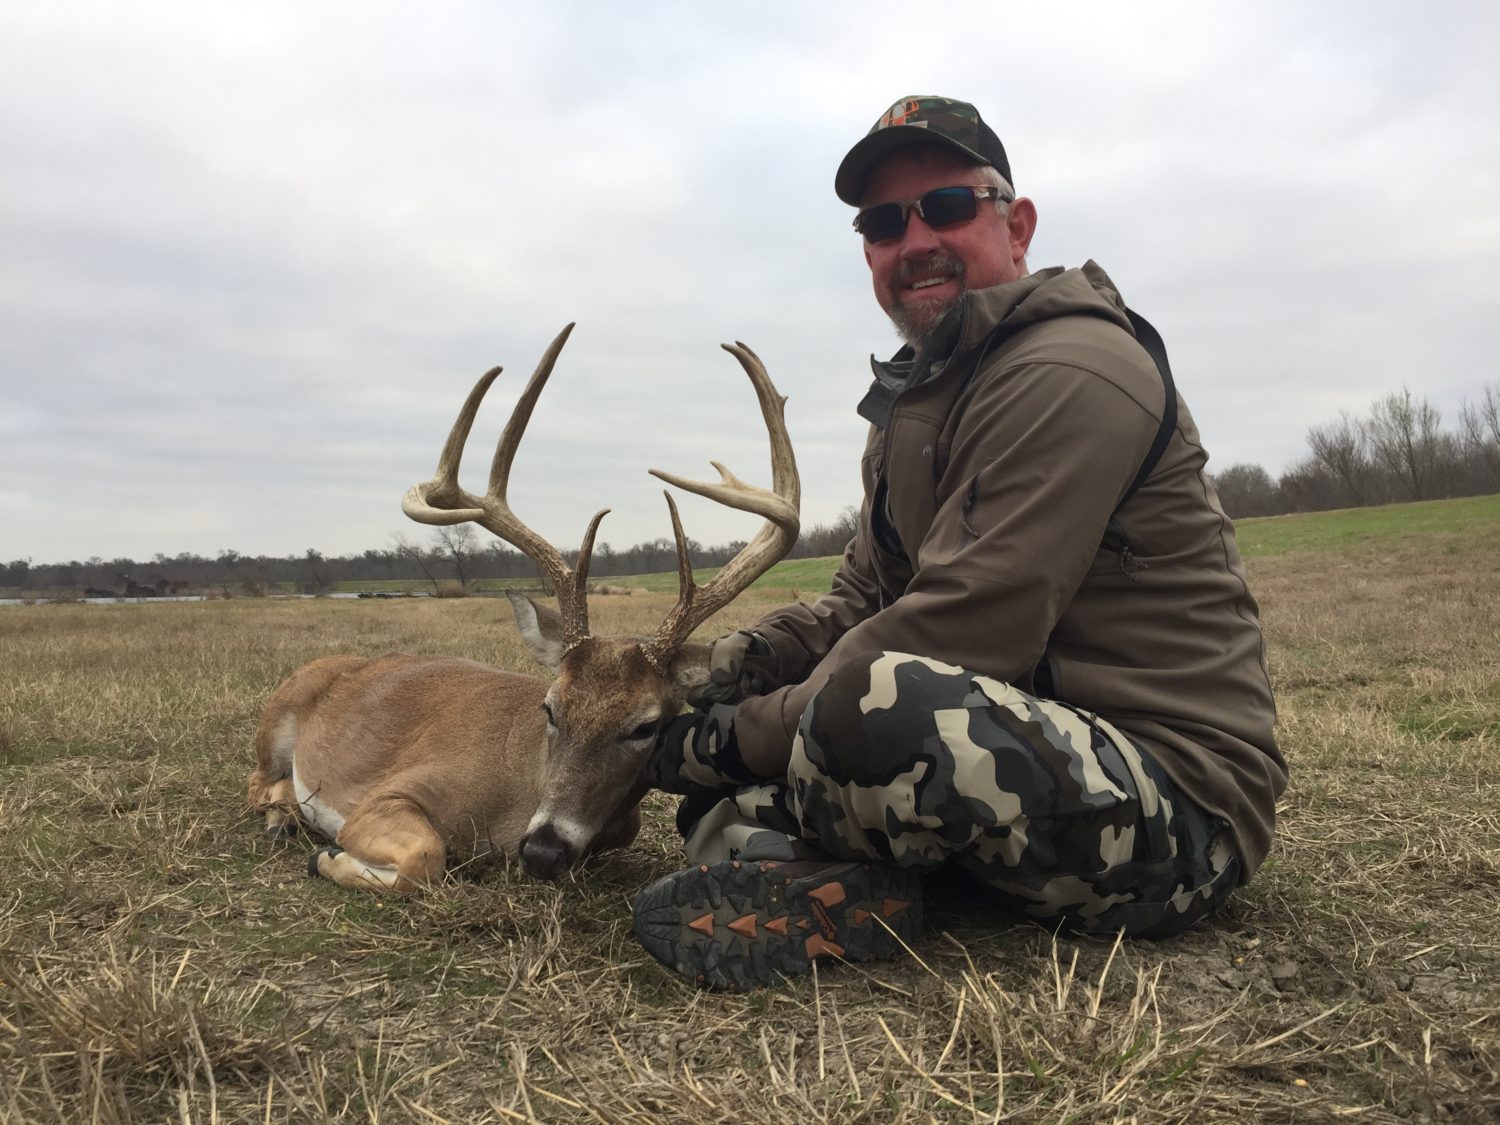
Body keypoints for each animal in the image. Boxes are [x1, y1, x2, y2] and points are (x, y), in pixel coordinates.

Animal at [246, 324, 799, 891]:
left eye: (645, 727)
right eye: (550, 708)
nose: (543, 850)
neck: (513, 804)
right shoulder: (387, 794)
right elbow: (425, 854)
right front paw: (328, 856)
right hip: (276, 720)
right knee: (257, 780)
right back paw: (280, 819)